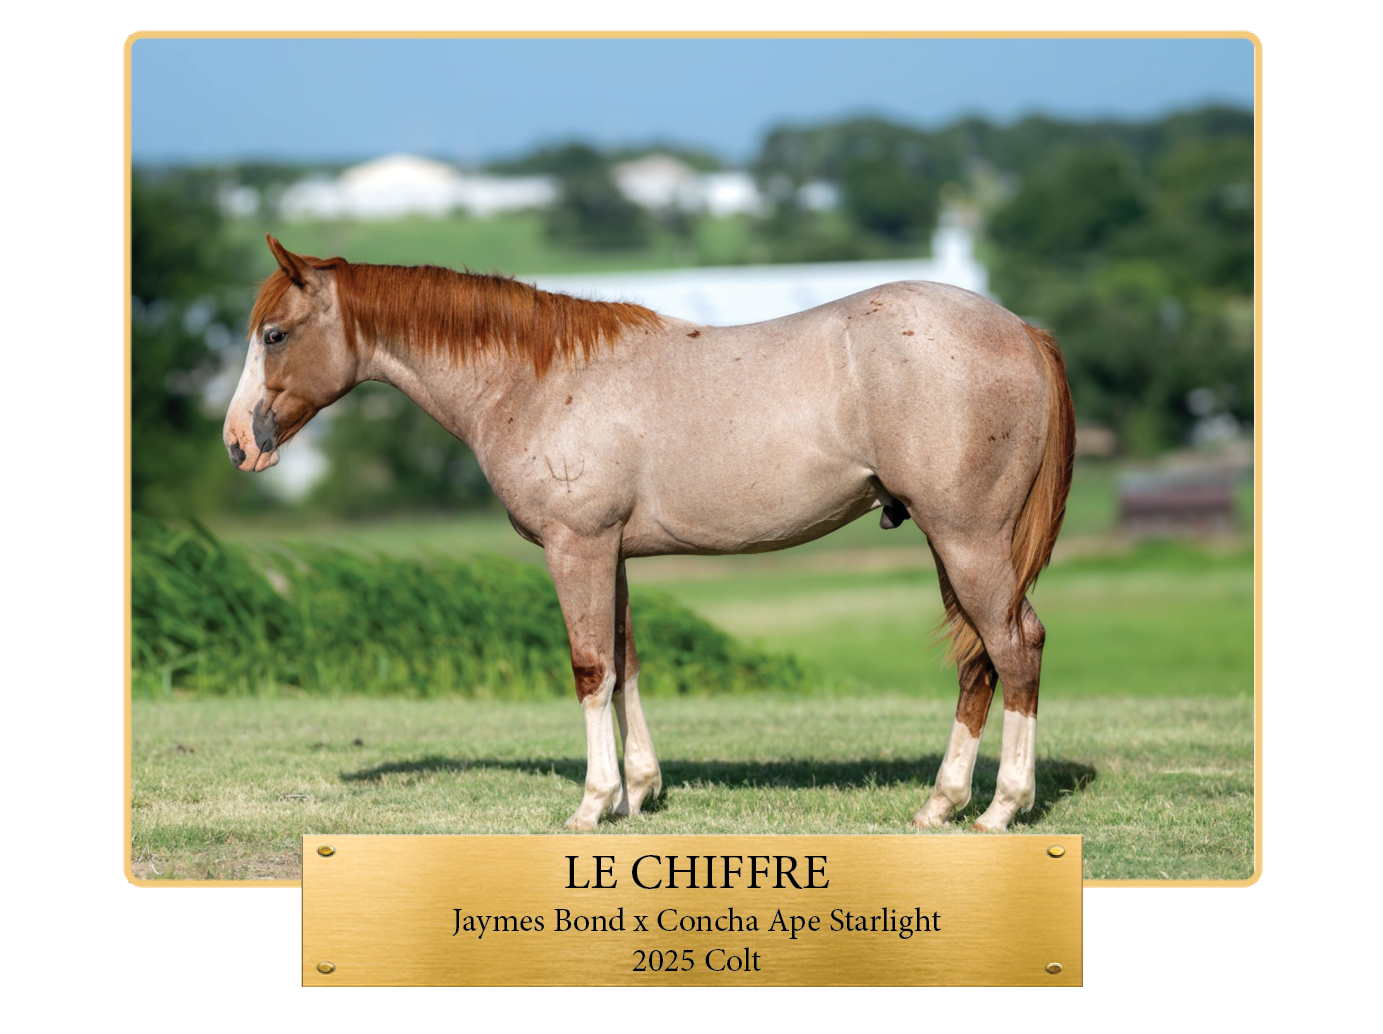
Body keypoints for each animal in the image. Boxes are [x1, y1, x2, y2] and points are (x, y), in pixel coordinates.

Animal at [224, 235, 1074, 833]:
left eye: (274, 335)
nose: (238, 444)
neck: (532, 380)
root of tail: (1019, 329)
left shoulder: (577, 547)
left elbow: (589, 668)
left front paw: (592, 801)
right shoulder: (615, 554)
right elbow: (626, 664)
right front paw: (636, 793)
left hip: (967, 539)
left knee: (1015, 646)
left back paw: (1002, 807)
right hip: (949, 542)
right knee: (977, 661)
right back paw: (940, 805)